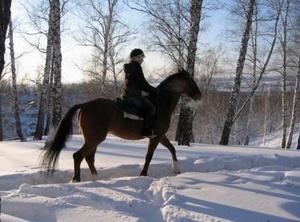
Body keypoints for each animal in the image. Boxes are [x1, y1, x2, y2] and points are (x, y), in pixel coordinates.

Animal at [41, 69, 202, 182]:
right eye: (190, 82)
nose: (199, 95)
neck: (161, 103)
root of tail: (85, 104)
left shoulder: (160, 136)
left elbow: (172, 149)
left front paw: (177, 170)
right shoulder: (155, 137)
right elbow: (149, 156)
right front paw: (143, 174)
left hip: (92, 139)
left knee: (89, 158)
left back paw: (96, 179)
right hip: (94, 138)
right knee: (78, 156)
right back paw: (76, 180)